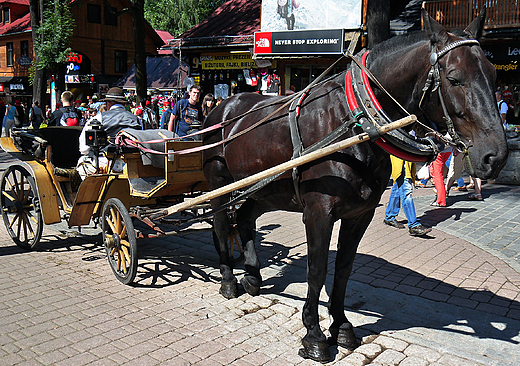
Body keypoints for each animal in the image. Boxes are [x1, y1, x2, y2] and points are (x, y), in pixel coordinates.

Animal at [202, 8, 508, 364]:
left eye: (494, 75)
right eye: (455, 77)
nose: (496, 156)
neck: (355, 122)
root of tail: (224, 106)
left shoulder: (359, 214)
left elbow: (344, 270)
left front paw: (342, 326)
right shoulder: (318, 213)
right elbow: (317, 270)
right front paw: (314, 335)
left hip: (264, 189)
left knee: (245, 218)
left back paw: (252, 276)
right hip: (220, 185)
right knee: (222, 225)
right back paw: (228, 281)